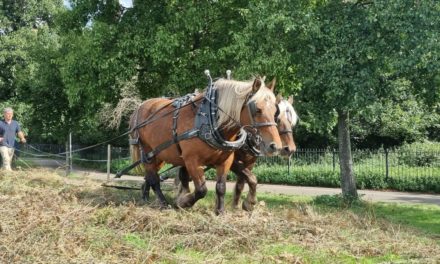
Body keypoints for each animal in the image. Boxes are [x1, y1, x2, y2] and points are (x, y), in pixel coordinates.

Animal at [131, 76, 282, 214]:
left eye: (275, 111)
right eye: (257, 109)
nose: (275, 146)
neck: (210, 119)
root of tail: (140, 106)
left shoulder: (226, 161)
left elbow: (223, 186)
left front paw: (222, 211)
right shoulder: (192, 160)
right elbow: (201, 190)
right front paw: (182, 201)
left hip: (160, 155)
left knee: (150, 176)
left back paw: (146, 197)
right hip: (148, 153)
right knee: (154, 179)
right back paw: (162, 203)